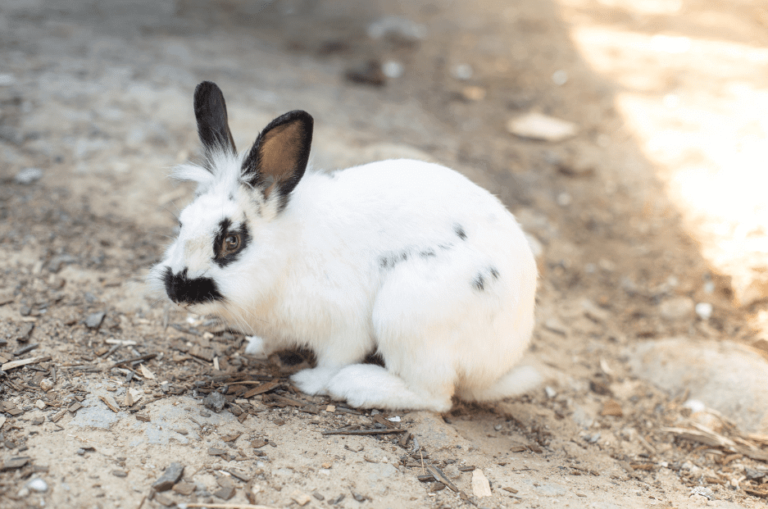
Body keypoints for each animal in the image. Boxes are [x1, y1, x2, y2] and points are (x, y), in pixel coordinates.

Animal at [149, 81, 540, 412]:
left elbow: (335, 358)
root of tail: (502, 359)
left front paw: (310, 381)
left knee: (435, 396)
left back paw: (355, 385)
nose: (178, 290)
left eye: (232, 242)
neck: (286, 253)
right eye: (182, 223)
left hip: (406, 314)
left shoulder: (344, 325)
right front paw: (259, 348)